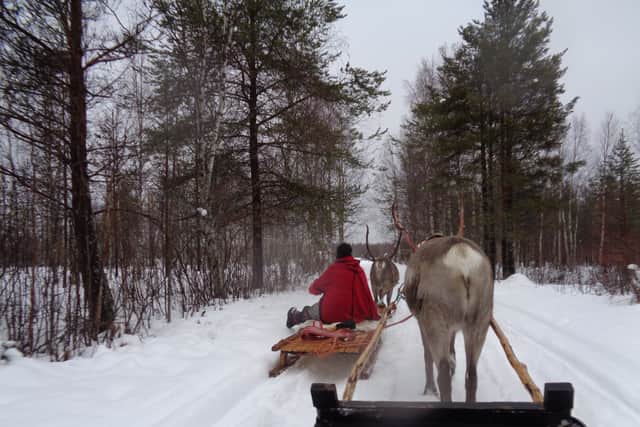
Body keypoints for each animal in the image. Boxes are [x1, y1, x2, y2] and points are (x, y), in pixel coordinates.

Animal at [392, 203, 494, 403]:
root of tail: (462, 257)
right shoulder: (454, 327)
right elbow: (452, 350)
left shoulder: (421, 320)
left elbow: (427, 356)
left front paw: (428, 390)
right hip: (481, 318)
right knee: (472, 374)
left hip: (435, 316)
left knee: (443, 373)